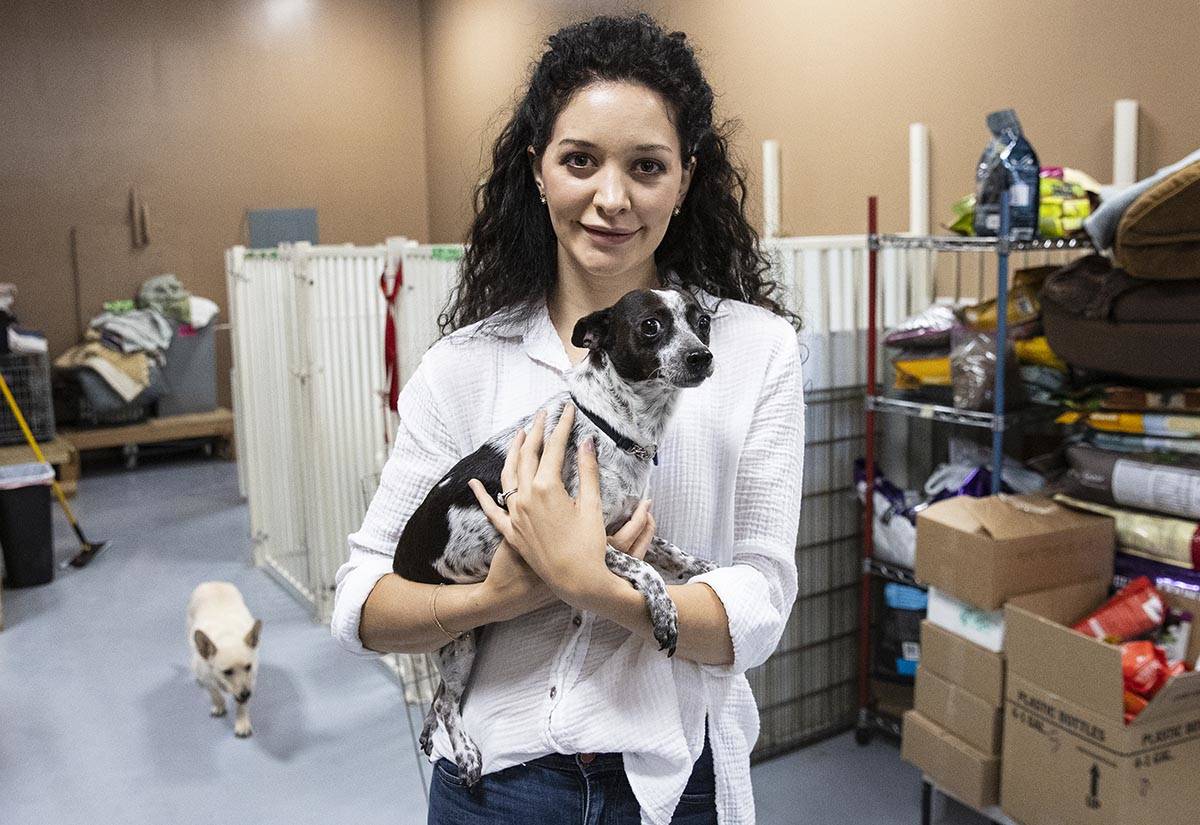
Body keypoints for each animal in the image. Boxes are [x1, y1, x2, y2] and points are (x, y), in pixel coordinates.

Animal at [187, 582, 262, 738]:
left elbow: (241, 705)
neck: (226, 637)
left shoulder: (250, 681)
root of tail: (213, 582)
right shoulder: (207, 678)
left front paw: (242, 723)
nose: (246, 694)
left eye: (248, 667)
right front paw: (219, 705)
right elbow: (215, 693)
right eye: (227, 672)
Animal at [388, 285, 715, 786]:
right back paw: (465, 753)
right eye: (651, 326)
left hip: (468, 632)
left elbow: (672, 553)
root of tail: (400, 560)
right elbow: (648, 571)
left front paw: (705, 567)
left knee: (442, 695)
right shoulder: (589, 543)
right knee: (446, 703)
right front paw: (665, 611)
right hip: (459, 641)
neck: (614, 428)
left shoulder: (622, 526)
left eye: (702, 322)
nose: (702, 356)